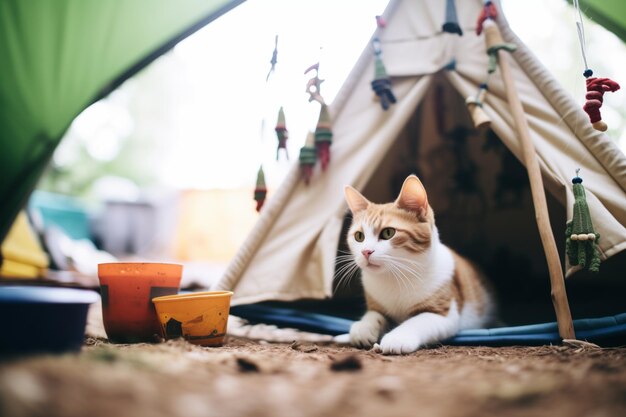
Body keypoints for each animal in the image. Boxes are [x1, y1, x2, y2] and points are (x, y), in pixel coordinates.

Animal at [342, 174, 492, 352]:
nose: (365, 252)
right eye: (359, 236)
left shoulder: (444, 313)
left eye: (388, 233)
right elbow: (373, 315)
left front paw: (396, 338)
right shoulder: (376, 304)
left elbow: (417, 321)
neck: (394, 277)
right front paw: (363, 328)